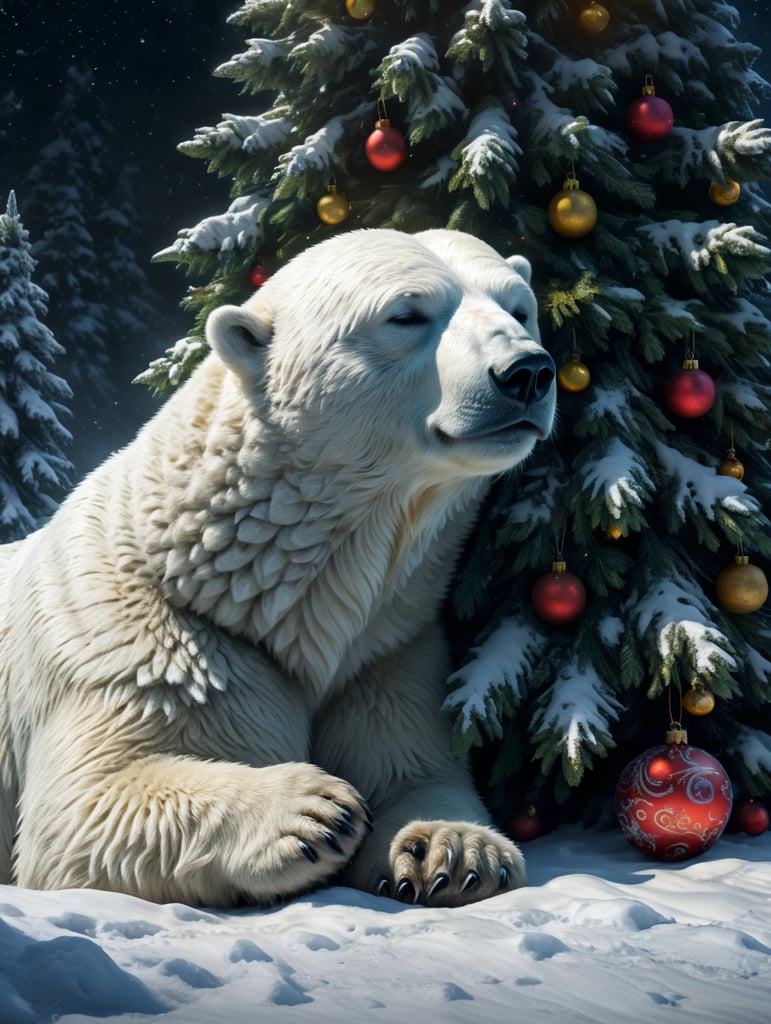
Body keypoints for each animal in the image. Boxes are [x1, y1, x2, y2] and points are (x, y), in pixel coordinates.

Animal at [0, 228, 556, 909]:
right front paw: (311, 811)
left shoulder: (386, 656)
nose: (527, 372)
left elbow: (411, 765)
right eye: (406, 314)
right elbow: (81, 810)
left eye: (519, 308)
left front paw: (453, 850)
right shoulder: (147, 655)